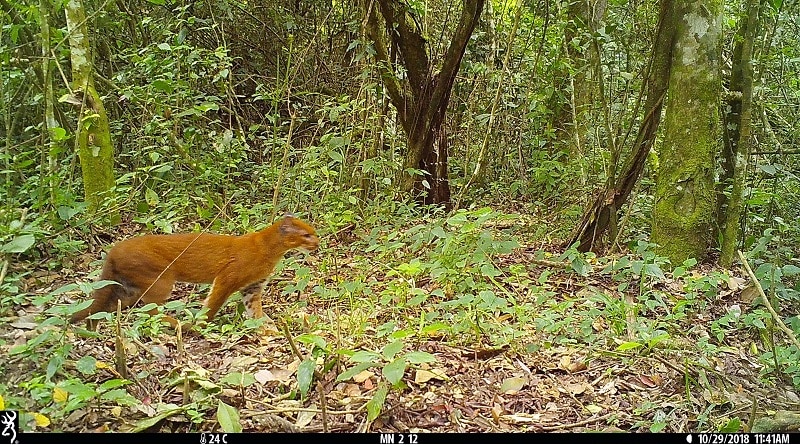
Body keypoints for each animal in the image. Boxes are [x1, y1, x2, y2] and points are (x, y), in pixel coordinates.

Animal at [69, 212, 318, 330]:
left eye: (312, 232)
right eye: (306, 235)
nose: (318, 242)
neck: (271, 247)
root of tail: (114, 249)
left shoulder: (252, 287)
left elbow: (255, 311)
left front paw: (267, 327)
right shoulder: (227, 278)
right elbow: (213, 303)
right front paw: (201, 323)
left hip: (125, 288)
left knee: (103, 309)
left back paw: (93, 329)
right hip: (162, 280)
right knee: (150, 311)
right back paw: (178, 324)